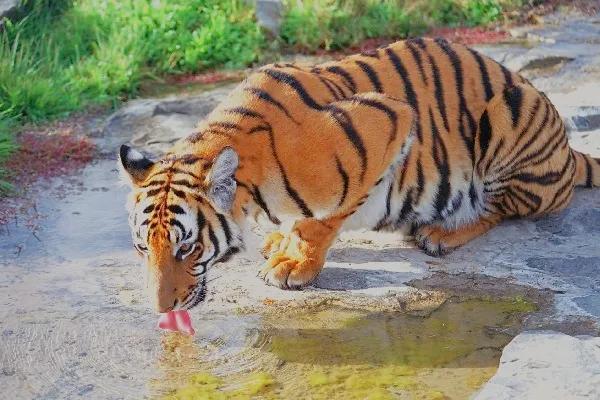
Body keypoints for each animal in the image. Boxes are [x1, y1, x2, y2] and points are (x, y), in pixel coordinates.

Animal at [118, 37, 600, 312]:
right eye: (143, 248)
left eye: (188, 247)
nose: (161, 310)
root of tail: (568, 150)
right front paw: (280, 240)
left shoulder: (387, 120)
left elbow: (318, 223)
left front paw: (294, 263)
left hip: (509, 111)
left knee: (501, 208)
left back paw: (442, 232)